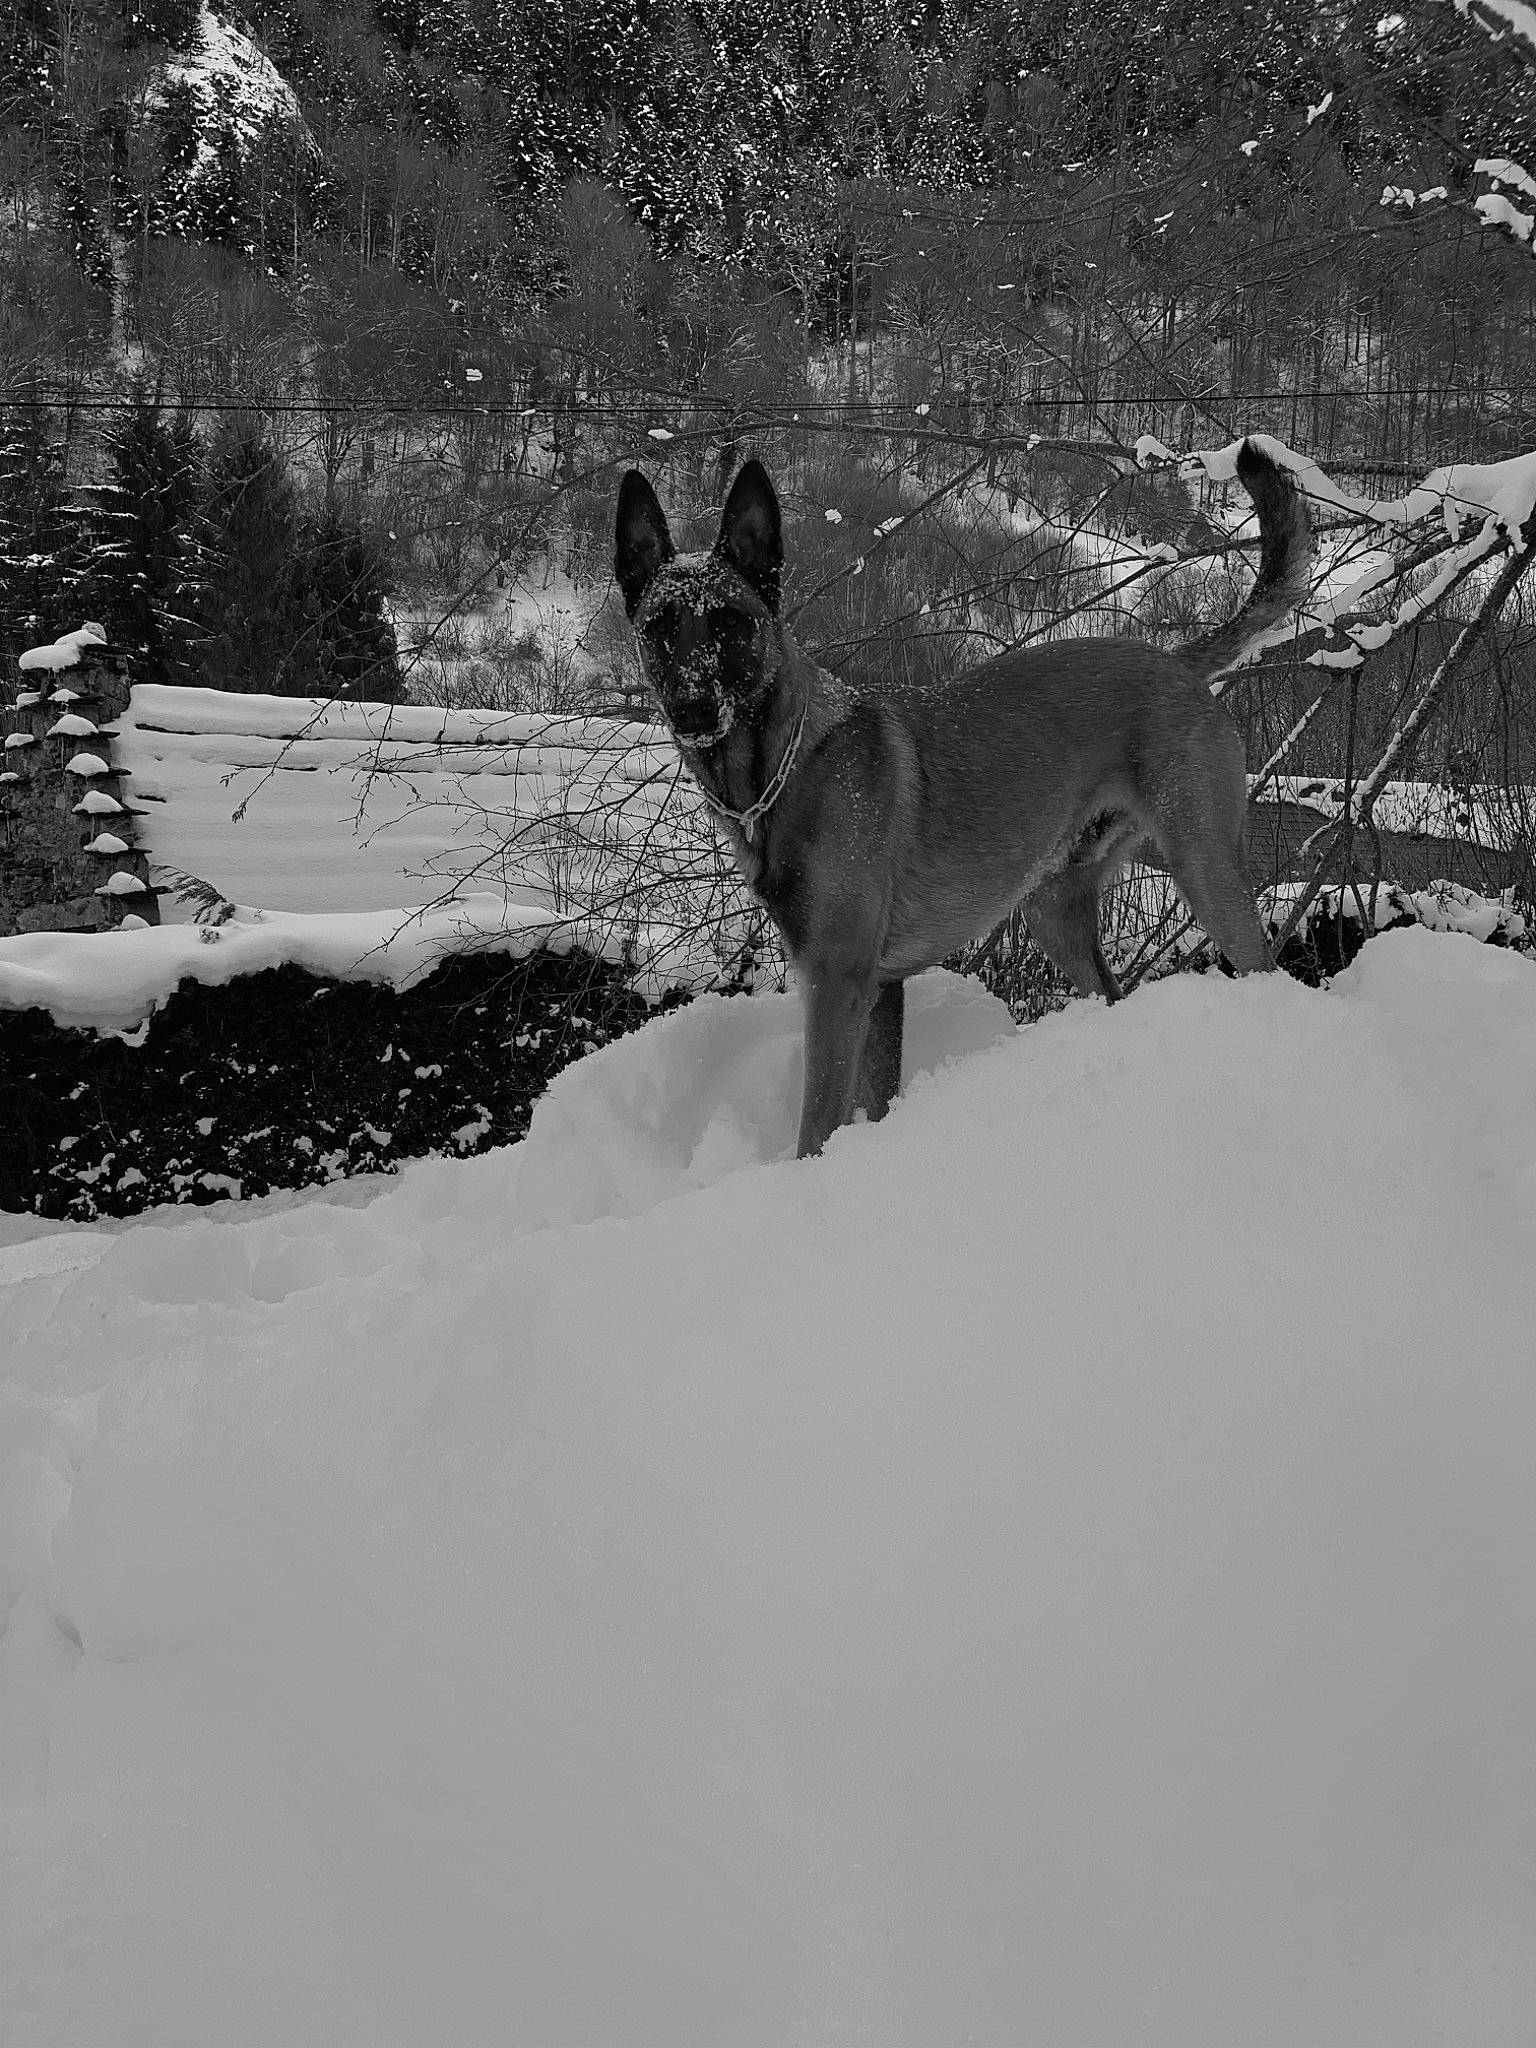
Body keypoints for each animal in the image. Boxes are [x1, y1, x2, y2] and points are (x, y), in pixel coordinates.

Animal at [615, 440, 1310, 1157]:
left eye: (730, 621)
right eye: (659, 626)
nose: (692, 708)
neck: (788, 763)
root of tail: (1174, 663)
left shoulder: (837, 986)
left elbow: (817, 1127)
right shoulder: (880, 992)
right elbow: (873, 1103)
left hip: (1205, 869)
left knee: (1261, 964)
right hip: (1053, 911)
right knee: (1110, 990)